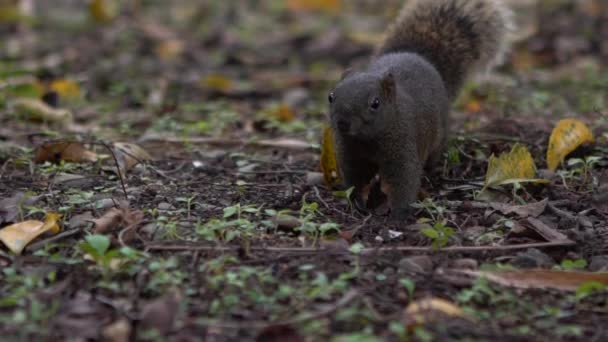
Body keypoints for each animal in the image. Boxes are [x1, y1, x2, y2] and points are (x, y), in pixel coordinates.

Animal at [328, 0, 512, 219]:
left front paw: (398, 215)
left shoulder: (404, 148)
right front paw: (357, 203)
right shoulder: (350, 154)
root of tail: (421, 57)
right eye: (330, 97)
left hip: (438, 138)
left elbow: (405, 180)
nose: (342, 123)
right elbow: (355, 180)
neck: (367, 140)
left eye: (375, 103)